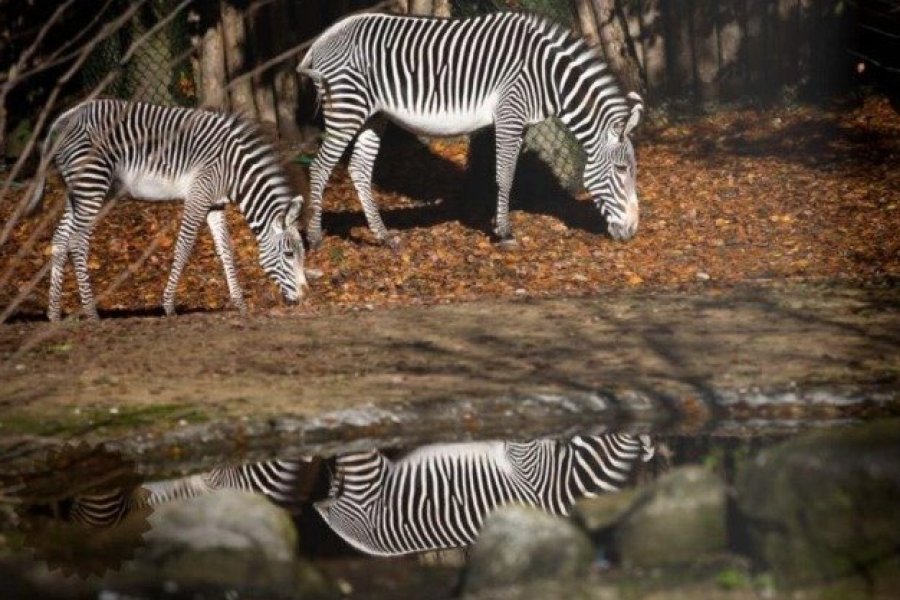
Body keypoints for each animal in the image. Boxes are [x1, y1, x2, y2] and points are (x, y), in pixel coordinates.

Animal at [28, 99, 310, 324]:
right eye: (288, 254)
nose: (303, 298)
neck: (235, 170)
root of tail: (67, 116)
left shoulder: (215, 204)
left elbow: (226, 251)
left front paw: (239, 303)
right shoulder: (198, 196)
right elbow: (184, 247)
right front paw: (169, 305)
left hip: (78, 190)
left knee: (61, 238)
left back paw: (54, 314)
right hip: (92, 185)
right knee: (77, 241)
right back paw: (90, 312)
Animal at [298, 11, 644, 251]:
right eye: (622, 169)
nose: (632, 232)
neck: (547, 76)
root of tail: (322, 39)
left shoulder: (518, 124)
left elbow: (506, 173)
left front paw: (498, 224)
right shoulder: (509, 114)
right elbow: (505, 175)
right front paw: (504, 232)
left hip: (373, 115)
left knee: (358, 169)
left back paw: (384, 237)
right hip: (346, 109)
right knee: (320, 168)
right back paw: (314, 238)